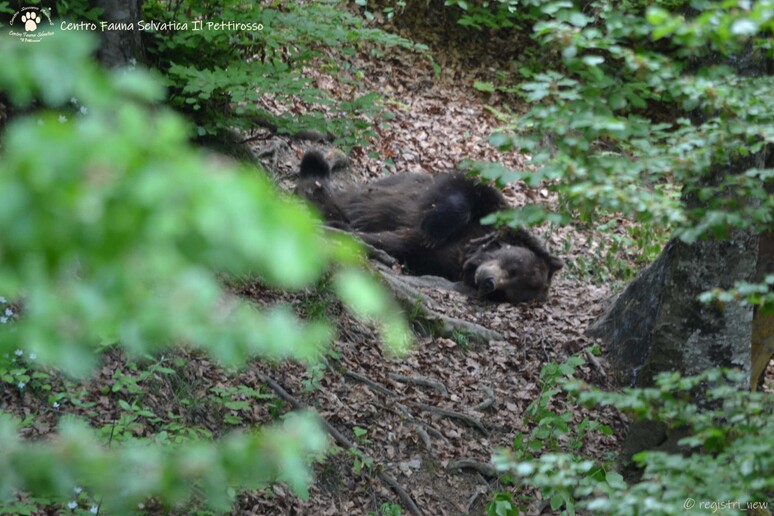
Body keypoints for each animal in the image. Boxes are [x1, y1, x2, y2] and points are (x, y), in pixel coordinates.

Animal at [298, 149, 564, 302]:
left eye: (506, 294)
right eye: (514, 268)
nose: (489, 283)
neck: (469, 249)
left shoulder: (436, 260)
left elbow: (400, 244)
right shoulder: (490, 209)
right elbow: (464, 189)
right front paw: (433, 229)